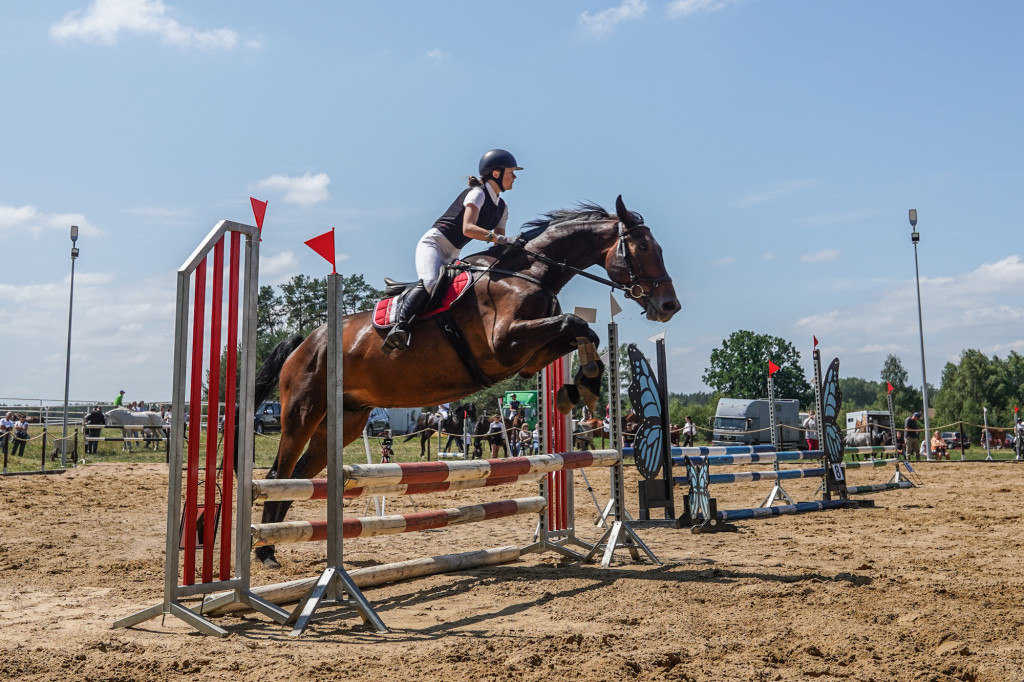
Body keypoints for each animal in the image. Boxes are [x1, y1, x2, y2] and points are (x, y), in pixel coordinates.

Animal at [249, 197, 679, 569]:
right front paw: (582, 387)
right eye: (642, 247)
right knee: (277, 476)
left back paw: (275, 544)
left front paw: (579, 387)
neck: (526, 274)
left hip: (345, 421)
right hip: (303, 412)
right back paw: (265, 551)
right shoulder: (505, 343)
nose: (669, 306)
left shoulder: (529, 358)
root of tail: (306, 342)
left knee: (299, 476)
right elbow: (576, 323)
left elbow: (581, 332)